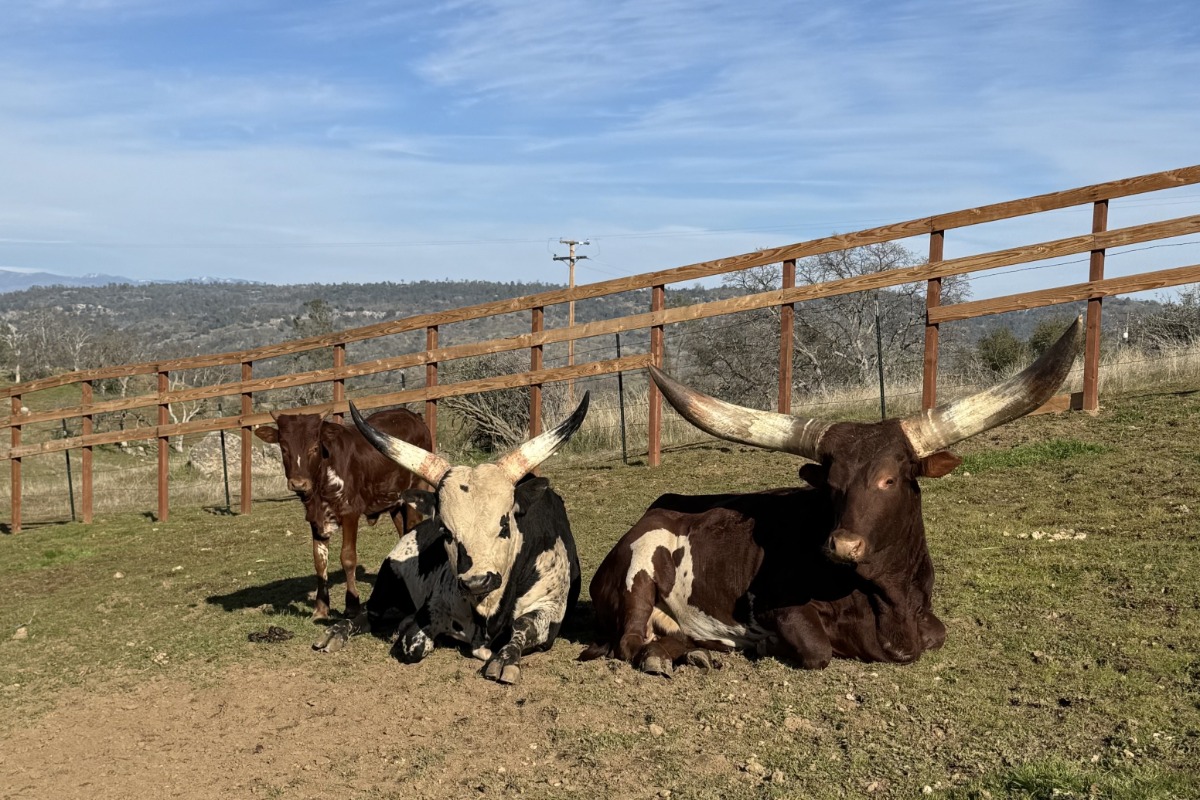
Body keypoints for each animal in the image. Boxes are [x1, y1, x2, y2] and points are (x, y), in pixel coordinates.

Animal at [254, 407, 432, 620]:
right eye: (284, 448)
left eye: (314, 447)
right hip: (394, 502)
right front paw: (321, 609)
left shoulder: (350, 513)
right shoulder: (315, 519)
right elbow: (320, 561)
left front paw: (352, 606)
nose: (298, 483)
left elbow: (348, 557)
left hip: (416, 493)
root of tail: (412, 415)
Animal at [313, 394, 589, 685]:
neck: (488, 609)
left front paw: (506, 659)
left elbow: (522, 626)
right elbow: (413, 643)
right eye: (445, 530)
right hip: (388, 583)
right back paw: (335, 633)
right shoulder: (431, 608)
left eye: (505, 524)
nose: (477, 581)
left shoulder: (550, 609)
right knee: (370, 613)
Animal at [581, 319, 1082, 675]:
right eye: (832, 484)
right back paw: (666, 655)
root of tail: (651, 511)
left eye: (889, 480)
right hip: (640, 573)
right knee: (630, 641)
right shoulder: (783, 610)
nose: (843, 545)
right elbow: (817, 650)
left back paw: (693, 652)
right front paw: (766, 643)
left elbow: (937, 635)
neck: (887, 598)